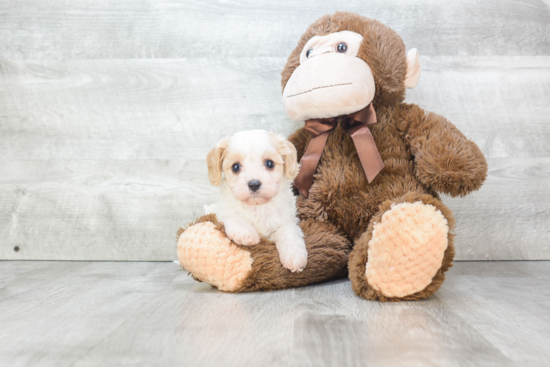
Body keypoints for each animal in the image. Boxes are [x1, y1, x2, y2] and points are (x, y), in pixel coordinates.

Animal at [207, 130, 310, 274]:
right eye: (235, 167)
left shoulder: (286, 220)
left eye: (269, 164)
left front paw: (294, 257)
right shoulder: (223, 211)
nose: (254, 184)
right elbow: (234, 217)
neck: (257, 206)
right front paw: (247, 234)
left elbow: (288, 233)